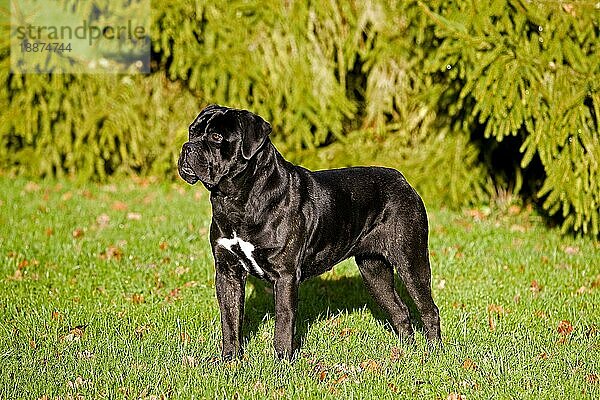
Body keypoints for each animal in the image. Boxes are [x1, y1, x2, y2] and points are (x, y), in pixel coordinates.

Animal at [178, 104, 440, 360]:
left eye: (216, 137)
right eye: (192, 132)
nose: (186, 147)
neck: (237, 199)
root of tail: (402, 179)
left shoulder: (285, 275)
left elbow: (284, 321)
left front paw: (282, 362)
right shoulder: (227, 273)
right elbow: (230, 319)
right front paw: (230, 360)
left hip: (410, 260)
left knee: (429, 309)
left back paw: (433, 353)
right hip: (374, 271)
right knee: (399, 309)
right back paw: (407, 352)